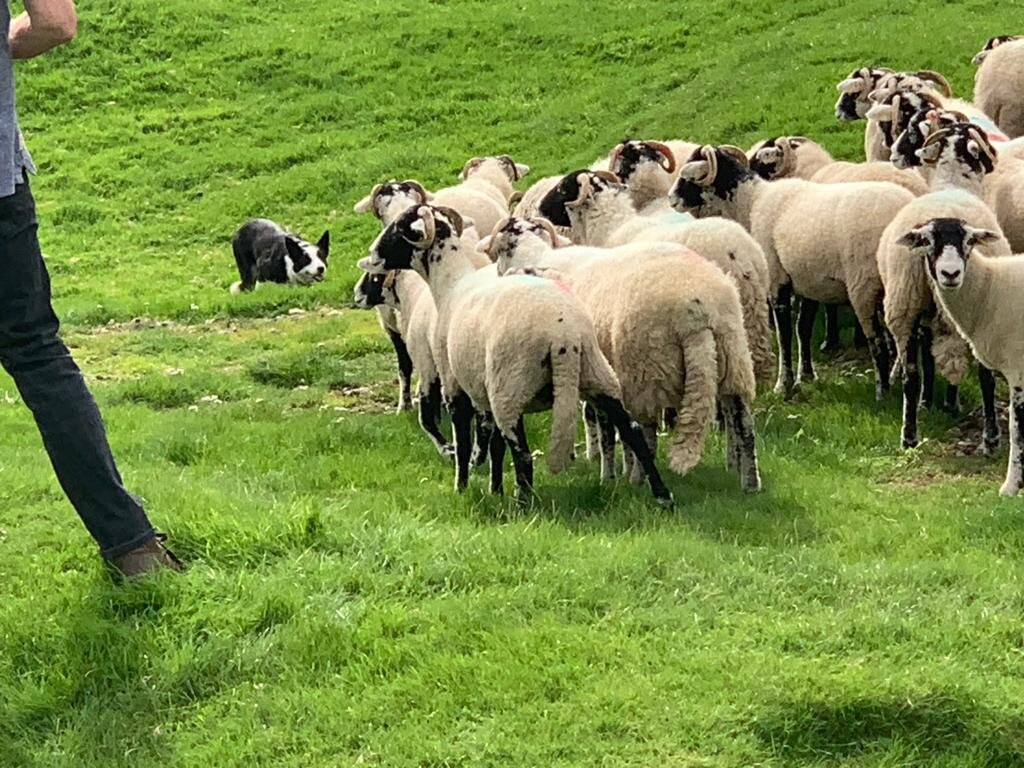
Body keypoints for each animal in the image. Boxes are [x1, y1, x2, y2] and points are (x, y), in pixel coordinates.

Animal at [356, 202, 675, 505]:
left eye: (399, 228)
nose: (370, 255)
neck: (450, 286)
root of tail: (564, 337)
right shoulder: (485, 394)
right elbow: (495, 446)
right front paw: (495, 489)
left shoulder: (454, 385)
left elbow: (463, 441)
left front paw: (462, 486)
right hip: (596, 374)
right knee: (633, 430)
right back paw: (662, 495)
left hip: (511, 387)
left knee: (522, 455)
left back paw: (524, 502)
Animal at [473, 217, 761, 493]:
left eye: (500, 252)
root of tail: (698, 309)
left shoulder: (600, 375)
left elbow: (606, 429)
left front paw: (608, 475)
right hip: (733, 357)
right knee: (743, 422)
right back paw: (749, 482)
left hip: (644, 369)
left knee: (647, 432)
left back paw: (638, 479)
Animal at [667, 142, 917, 403]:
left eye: (687, 177)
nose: (670, 199)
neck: (751, 203)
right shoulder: (809, 282)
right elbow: (803, 329)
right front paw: (806, 376)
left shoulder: (778, 280)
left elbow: (785, 334)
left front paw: (783, 385)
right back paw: (896, 378)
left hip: (865, 285)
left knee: (878, 341)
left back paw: (882, 393)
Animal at [872, 121, 1007, 450]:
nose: (949, 272)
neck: (952, 183)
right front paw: (949, 403)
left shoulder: (925, 315)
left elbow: (928, 358)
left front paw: (928, 402)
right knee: (985, 374)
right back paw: (991, 436)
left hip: (903, 303)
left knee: (910, 375)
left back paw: (909, 435)